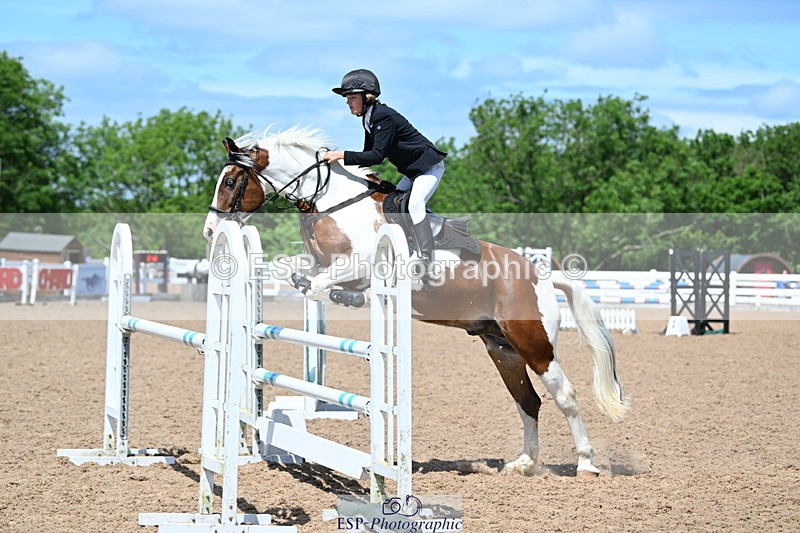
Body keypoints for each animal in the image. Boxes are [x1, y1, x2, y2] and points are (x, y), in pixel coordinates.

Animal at [203, 126, 630, 477]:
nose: (210, 230)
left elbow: (321, 284)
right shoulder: (323, 262)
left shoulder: (357, 264)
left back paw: (586, 464)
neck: (334, 202)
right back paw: (525, 464)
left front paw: (349, 297)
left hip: (535, 344)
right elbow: (294, 271)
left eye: (232, 181)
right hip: (503, 348)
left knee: (565, 396)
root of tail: (540, 276)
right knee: (528, 401)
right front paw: (334, 291)